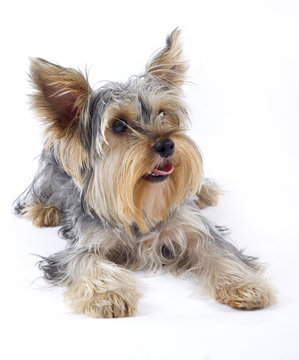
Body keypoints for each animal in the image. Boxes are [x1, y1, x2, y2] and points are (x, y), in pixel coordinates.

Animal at [14, 30, 276, 318]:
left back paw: (204, 193)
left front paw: (245, 285)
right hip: (49, 172)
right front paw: (109, 295)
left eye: (163, 114)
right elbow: (86, 261)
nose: (167, 144)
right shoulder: (83, 245)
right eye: (118, 125)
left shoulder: (193, 228)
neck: (141, 200)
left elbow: (219, 252)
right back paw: (44, 210)